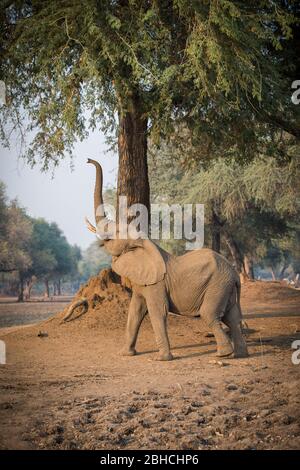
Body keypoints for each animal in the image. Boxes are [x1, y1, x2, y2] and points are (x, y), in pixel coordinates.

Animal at [86, 158, 248, 360]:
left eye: (115, 232)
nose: (88, 160)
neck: (142, 242)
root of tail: (234, 274)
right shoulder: (143, 282)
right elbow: (135, 311)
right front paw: (125, 354)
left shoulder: (157, 284)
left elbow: (157, 312)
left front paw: (160, 359)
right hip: (226, 286)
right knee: (231, 317)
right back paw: (240, 355)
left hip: (217, 285)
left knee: (210, 315)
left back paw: (223, 355)